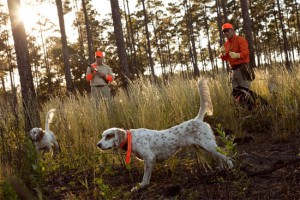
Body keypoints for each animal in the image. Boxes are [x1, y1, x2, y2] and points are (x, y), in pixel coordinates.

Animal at [96, 79, 232, 191]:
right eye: (102, 136)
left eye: (109, 136)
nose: (98, 145)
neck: (132, 138)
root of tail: (197, 119)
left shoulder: (149, 158)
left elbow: (145, 177)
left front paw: (141, 186)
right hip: (204, 146)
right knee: (220, 157)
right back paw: (221, 169)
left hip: (208, 145)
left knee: (226, 155)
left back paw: (230, 168)